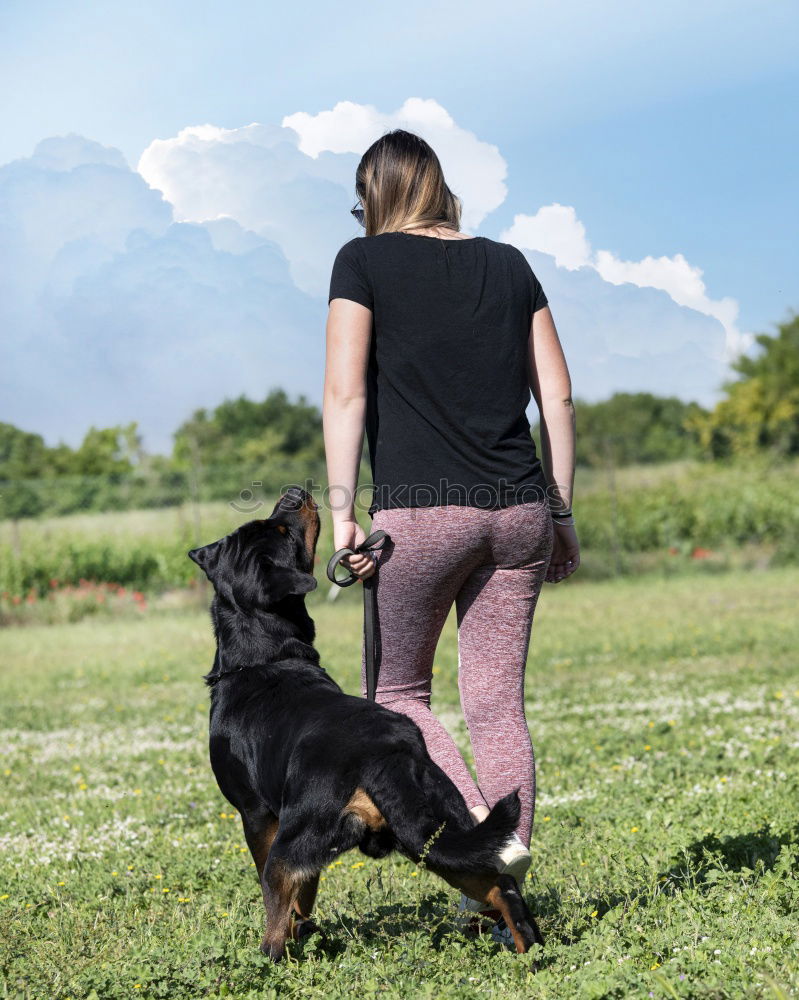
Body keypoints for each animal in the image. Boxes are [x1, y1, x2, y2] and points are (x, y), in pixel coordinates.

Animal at [191, 488, 548, 964]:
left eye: (280, 529)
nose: (295, 493)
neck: (264, 656)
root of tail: (389, 752)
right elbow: (307, 895)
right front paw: (309, 930)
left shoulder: (256, 815)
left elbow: (288, 896)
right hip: (429, 830)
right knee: (498, 883)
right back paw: (529, 952)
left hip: (297, 838)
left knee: (274, 913)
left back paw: (267, 960)